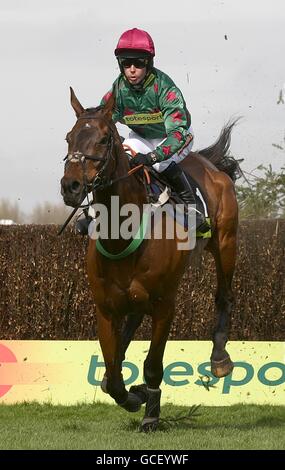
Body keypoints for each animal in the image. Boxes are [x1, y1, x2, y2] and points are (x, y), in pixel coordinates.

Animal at [60, 87, 240, 430]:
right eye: (69, 138)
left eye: (104, 139)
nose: (71, 186)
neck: (122, 235)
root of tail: (211, 166)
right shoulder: (105, 309)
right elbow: (113, 374)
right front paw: (135, 394)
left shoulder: (164, 305)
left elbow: (153, 364)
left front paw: (151, 412)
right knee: (130, 324)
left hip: (226, 243)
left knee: (224, 294)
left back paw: (220, 359)